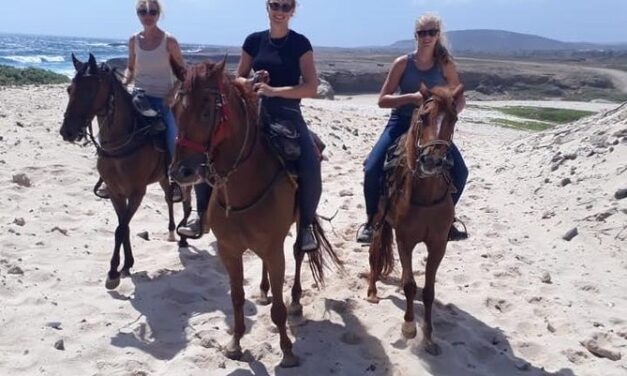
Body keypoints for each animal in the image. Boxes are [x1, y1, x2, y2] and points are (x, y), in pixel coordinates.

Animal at [61, 53, 194, 290]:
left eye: (90, 90)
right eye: (70, 89)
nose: (67, 131)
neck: (121, 143)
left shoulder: (137, 192)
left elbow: (120, 229)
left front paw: (113, 272)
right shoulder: (115, 192)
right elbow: (124, 226)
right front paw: (126, 265)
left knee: (186, 203)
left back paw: (183, 236)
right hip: (162, 178)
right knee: (169, 198)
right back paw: (172, 230)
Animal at [169, 58, 340, 368]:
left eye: (206, 110)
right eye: (175, 108)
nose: (181, 172)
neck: (242, 185)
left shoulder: (275, 250)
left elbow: (279, 309)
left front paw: (287, 352)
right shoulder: (229, 250)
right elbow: (236, 298)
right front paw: (235, 344)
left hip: (299, 225)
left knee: (299, 253)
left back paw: (296, 300)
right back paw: (262, 290)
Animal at [366, 83, 464, 356]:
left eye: (454, 119)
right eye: (423, 117)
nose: (432, 161)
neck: (426, 195)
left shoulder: (438, 244)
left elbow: (428, 290)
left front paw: (428, 337)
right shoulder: (405, 240)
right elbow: (410, 284)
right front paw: (409, 328)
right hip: (378, 222)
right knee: (374, 254)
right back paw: (372, 291)